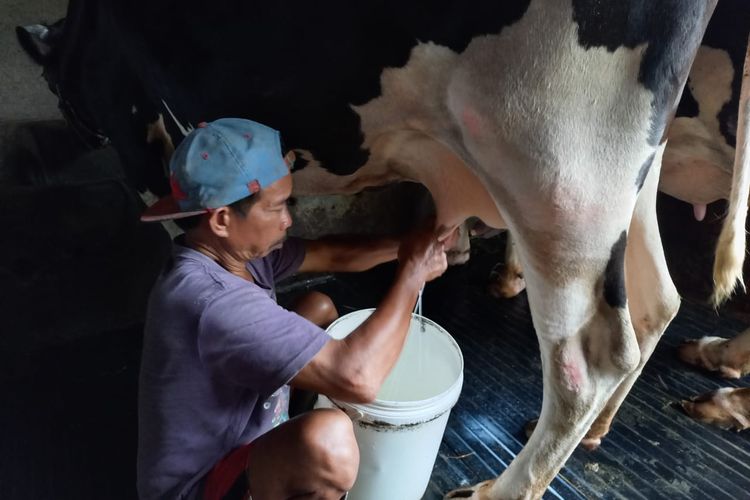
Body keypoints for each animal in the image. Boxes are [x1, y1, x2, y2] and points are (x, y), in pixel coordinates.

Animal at [19, 0, 750, 500]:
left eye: (56, 83)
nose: (69, 131)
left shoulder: (139, 124)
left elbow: (176, 228)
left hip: (559, 169)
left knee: (589, 358)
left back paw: (500, 488)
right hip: (631, 173)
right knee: (658, 301)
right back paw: (602, 427)